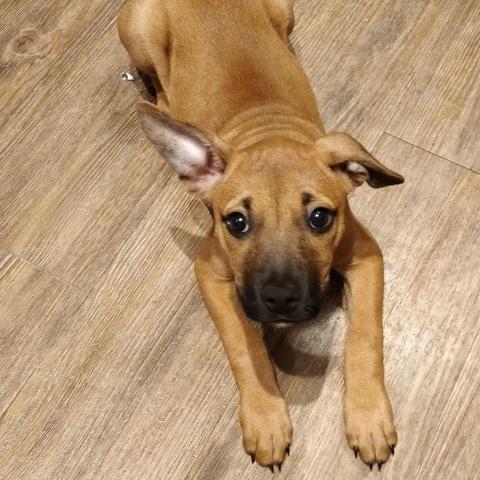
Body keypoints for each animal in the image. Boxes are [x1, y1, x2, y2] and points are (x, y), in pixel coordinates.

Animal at [118, 0, 403, 472]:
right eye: (236, 223)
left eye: (320, 218)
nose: (282, 299)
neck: (269, 132)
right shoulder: (210, 271)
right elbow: (244, 344)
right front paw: (267, 419)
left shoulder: (366, 257)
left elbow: (365, 337)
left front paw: (368, 419)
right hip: (138, 31)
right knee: (154, 82)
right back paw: (165, 98)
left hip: (284, 11)